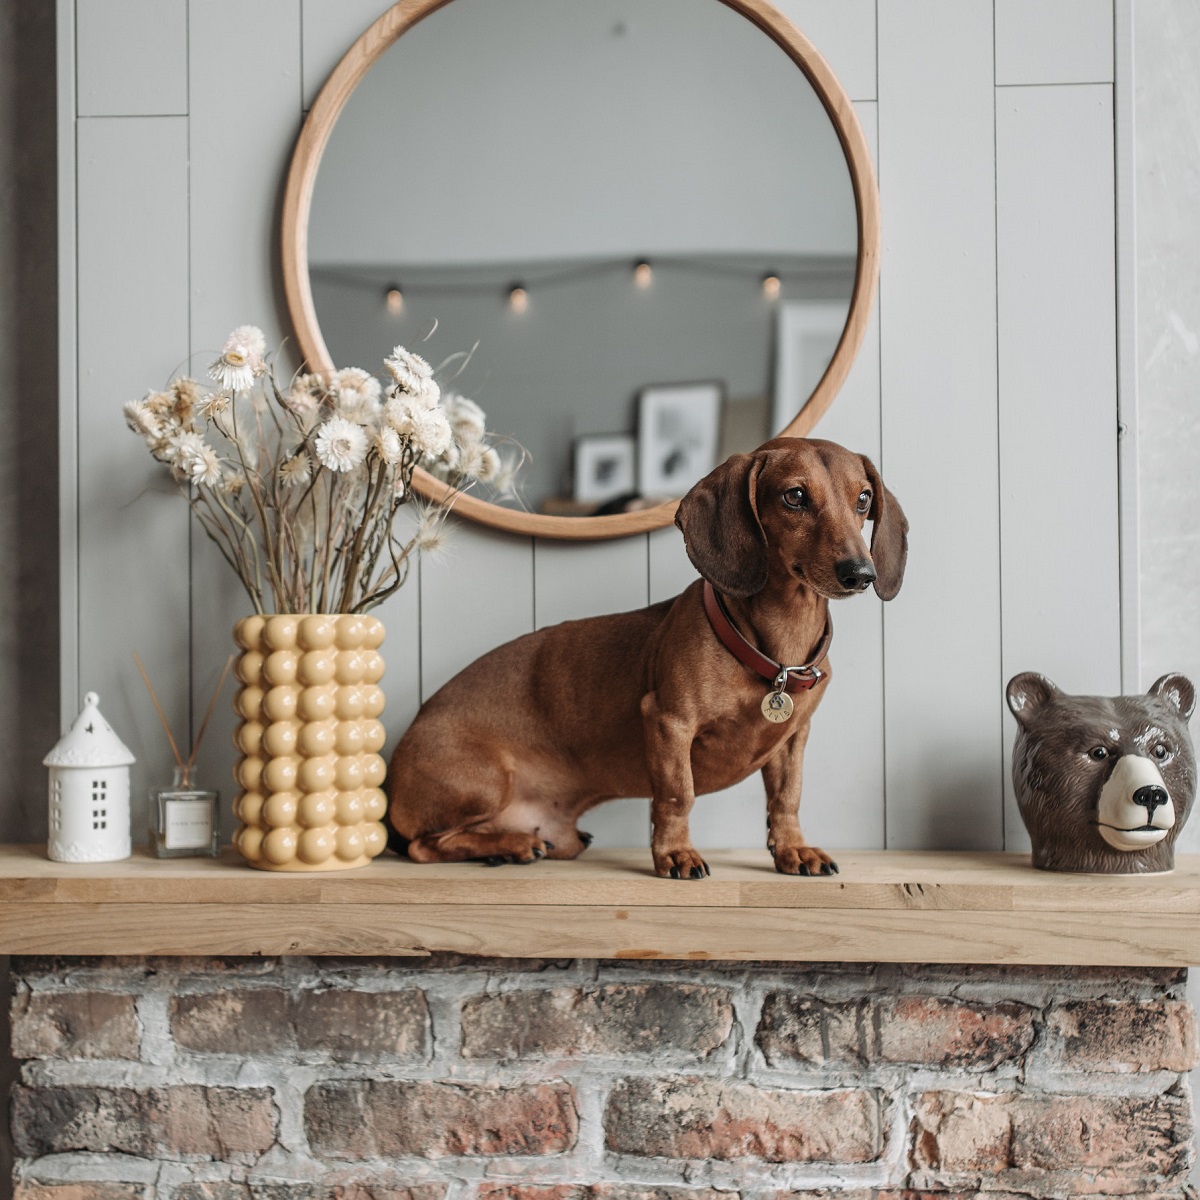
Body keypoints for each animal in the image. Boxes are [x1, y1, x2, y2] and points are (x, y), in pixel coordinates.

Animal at [388, 436, 902, 878]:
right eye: (794, 496)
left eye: (862, 499)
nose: (861, 573)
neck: (775, 652)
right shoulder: (668, 722)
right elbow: (677, 796)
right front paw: (675, 854)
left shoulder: (794, 739)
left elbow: (787, 798)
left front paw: (794, 849)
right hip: (487, 781)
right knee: (422, 846)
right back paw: (509, 847)